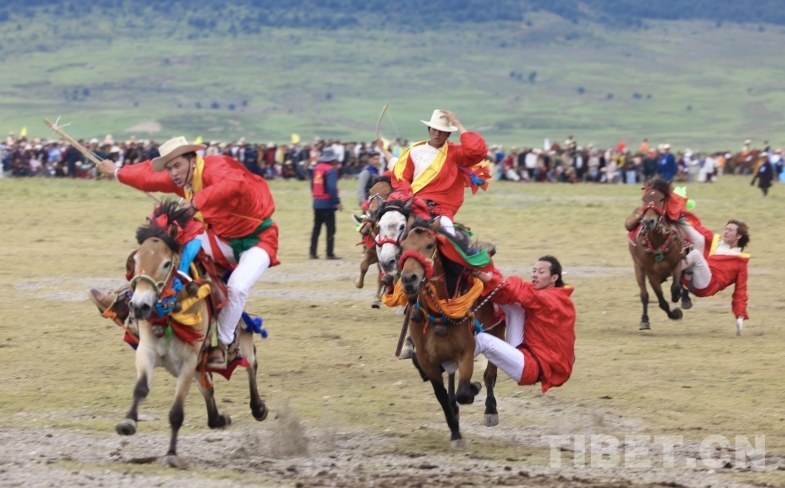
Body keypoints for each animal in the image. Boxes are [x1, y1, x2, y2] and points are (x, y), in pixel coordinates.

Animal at [117, 201, 268, 467]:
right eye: (135, 259)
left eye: (166, 263)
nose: (139, 306)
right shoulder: (146, 353)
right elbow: (140, 388)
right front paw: (128, 421)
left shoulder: (188, 363)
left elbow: (176, 413)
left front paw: (171, 454)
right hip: (200, 365)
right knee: (209, 389)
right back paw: (219, 419)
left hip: (241, 342)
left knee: (252, 364)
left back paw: (258, 408)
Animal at [354, 176, 393, 308]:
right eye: (370, 191)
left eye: (387, 193)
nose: (372, 213)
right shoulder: (372, 254)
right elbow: (363, 266)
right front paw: (357, 282)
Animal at [398, 219, 505, 447]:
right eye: (402, 247)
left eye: (429, 245)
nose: (409, 279)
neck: (437, 313)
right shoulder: (427, 360)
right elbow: (442, 396)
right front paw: (455, 431)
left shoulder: (466, 352)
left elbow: (463, 392)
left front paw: (473, 390)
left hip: (497, 331)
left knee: (490, 374)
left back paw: (490, 409)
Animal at [627, 179, 687, 330]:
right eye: (644, 199)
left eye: (661, 199)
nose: (648, 221)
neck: (658, 242)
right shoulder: (651, 273)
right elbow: (661, 301)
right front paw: (675, 314)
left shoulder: (677, 263)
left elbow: (676, 286)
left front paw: (678, 296)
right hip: (638, 268)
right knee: (644, 295)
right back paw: (644, 320)